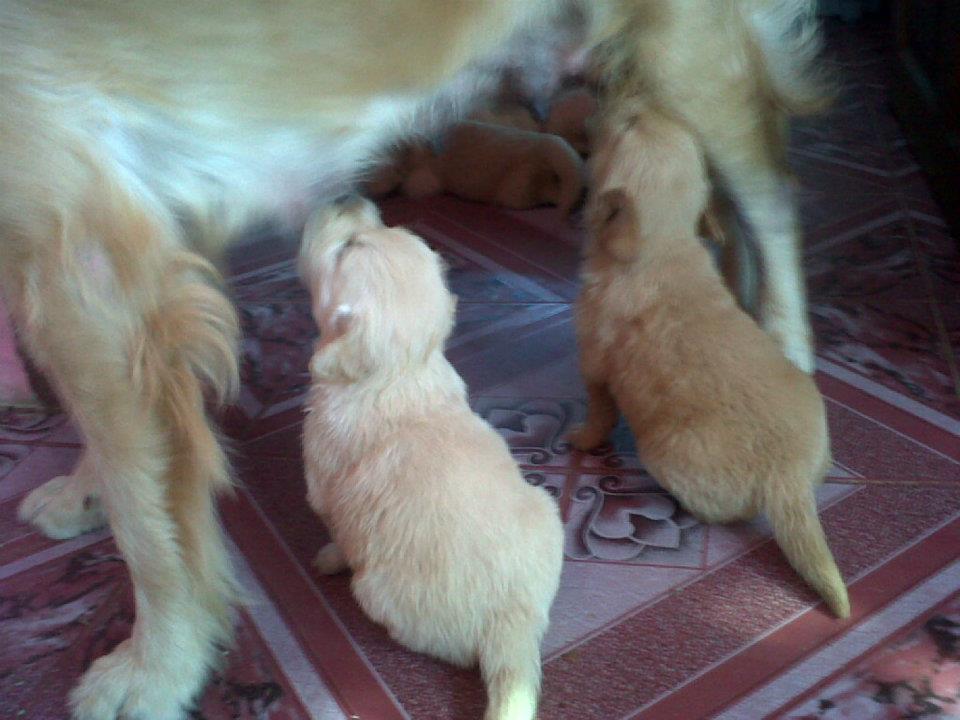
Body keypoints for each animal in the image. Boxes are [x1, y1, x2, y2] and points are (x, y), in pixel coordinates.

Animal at [299, 196, 564, 720]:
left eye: (347, 248)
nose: (346, 197)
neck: (400, 373)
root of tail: (515, 618)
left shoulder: (323, 485)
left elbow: (336, 532)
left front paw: (328, 557)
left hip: (379, 593)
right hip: (548, 510)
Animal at [570, 107, 849, 618]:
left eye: (627, 126)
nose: (622, 105)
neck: (663, 244)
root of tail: (790, 480)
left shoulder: (594, 363)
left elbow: (598, 412)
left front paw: (579, 439)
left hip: (666, 453)